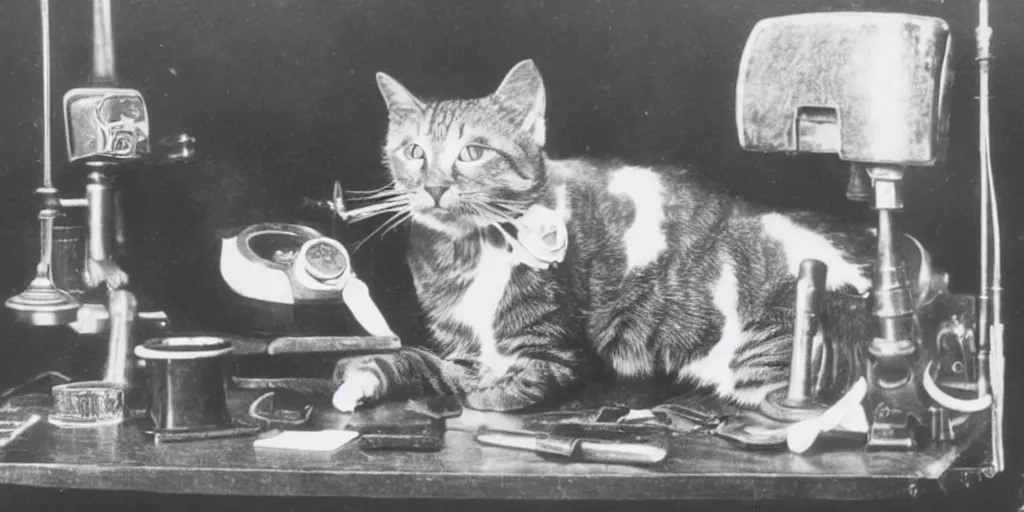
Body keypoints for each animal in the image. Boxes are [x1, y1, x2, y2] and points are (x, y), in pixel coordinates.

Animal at [329, 58, 913, 411]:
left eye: (471, 152)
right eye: (414, 152)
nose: (432, 187)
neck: (466, 252)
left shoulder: (550, 353)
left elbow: (499, 388)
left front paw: (483, 398)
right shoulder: (465, 353)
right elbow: (419, 360)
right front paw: (361, 377)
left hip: (768, 358)